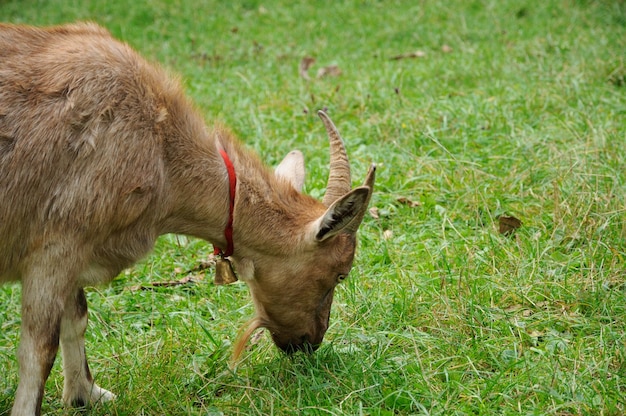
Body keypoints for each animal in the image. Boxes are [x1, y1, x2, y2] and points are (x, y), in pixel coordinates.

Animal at [0, 23, 372, 416]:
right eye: (340, 273)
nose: (308, 343)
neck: (160, 150)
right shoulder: (54, 248)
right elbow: (38, 350)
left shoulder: (73, 253)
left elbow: (76, 319)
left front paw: (86, 394)